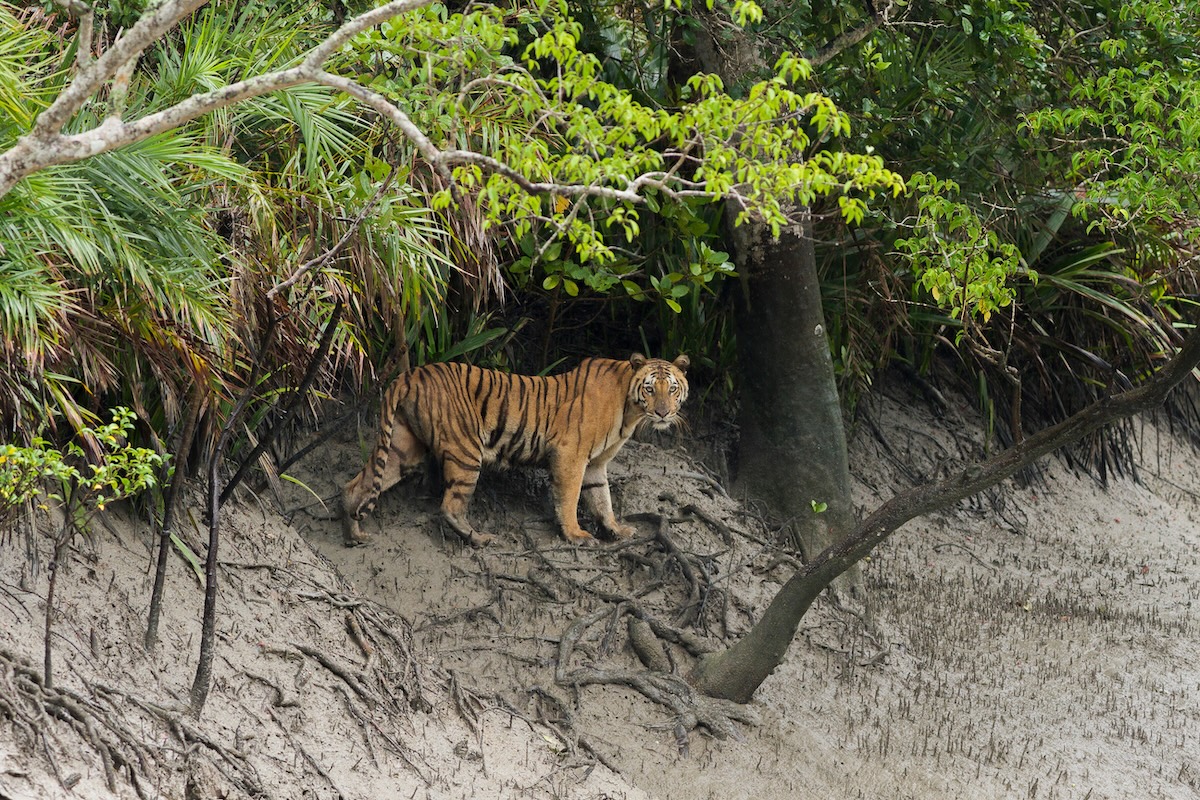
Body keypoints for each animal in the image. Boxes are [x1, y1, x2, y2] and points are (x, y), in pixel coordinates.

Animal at [342, 353, 690, 547]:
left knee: (356, 485)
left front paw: (616, 529)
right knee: (450, 506)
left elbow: (602, 498)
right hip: (466, 450)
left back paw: (353, 533)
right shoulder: (571, 455)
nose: (663, 413)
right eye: (650, 388)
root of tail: (410, 374)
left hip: (403, 447)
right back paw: (479, 539)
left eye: (672, 388)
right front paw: (575, 534)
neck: (630, 410)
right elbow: (570, 497)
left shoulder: (595, 464)